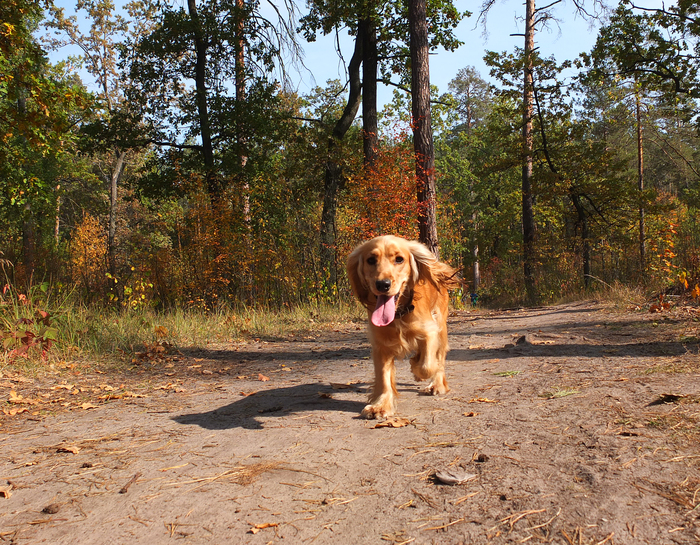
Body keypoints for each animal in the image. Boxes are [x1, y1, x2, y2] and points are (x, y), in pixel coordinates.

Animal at [348, 234, 462, 416]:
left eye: (399, 259)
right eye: (371, 260)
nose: (383, 284)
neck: (398, 314)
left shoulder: (430, 331)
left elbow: (427, 366)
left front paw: (418, 367)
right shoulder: (381, 345)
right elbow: (384, 377)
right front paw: (381, 405)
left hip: (441, 326)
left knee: (439, 357)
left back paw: (436, 384)